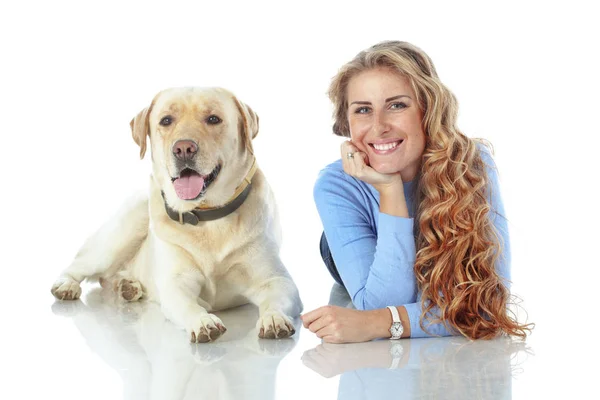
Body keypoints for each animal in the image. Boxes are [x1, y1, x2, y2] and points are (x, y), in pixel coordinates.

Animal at [50, 88, 304, 344]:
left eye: (213, 119)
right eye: (166, 120)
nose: (183, 148)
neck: (208, 218)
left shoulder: (278, 280)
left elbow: (274, 299)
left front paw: (274, 318)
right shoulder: (176, 283)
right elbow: (189, 305)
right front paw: (203, 321)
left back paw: (128, 287)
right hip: (118, 236)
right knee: (80, 264)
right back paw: (67, 285)